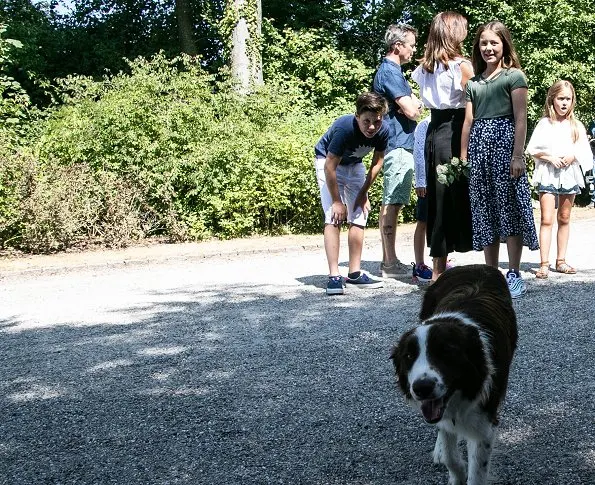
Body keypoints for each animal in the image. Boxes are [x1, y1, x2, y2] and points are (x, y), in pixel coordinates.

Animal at [392, 264, 516, 484]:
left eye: (447, 352)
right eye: (408, 356)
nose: (422, 388)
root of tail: (476, 265)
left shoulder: (485, 422)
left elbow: (476, 472)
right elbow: (449, 454)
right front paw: (454, 469)